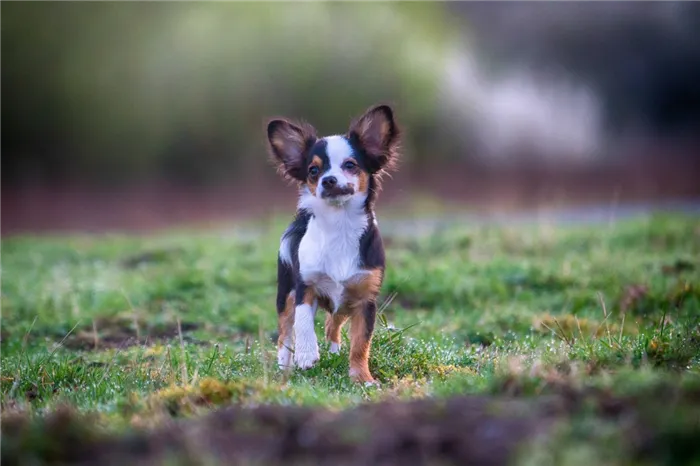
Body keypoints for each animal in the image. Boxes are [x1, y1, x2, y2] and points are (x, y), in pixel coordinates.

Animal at [266, 104, 400, 382]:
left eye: (350, 165)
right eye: (313, 170)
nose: (328, 180)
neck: (340, 225)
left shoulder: (364, 300)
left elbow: (361, 344)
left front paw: (362, 378)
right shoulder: (304, 286)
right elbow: (303, 322)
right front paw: (306, 355)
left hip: (345, 302)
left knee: (332, 323)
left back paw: (335, 351)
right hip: (285, 293)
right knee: (285, 332)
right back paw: (285, 366)